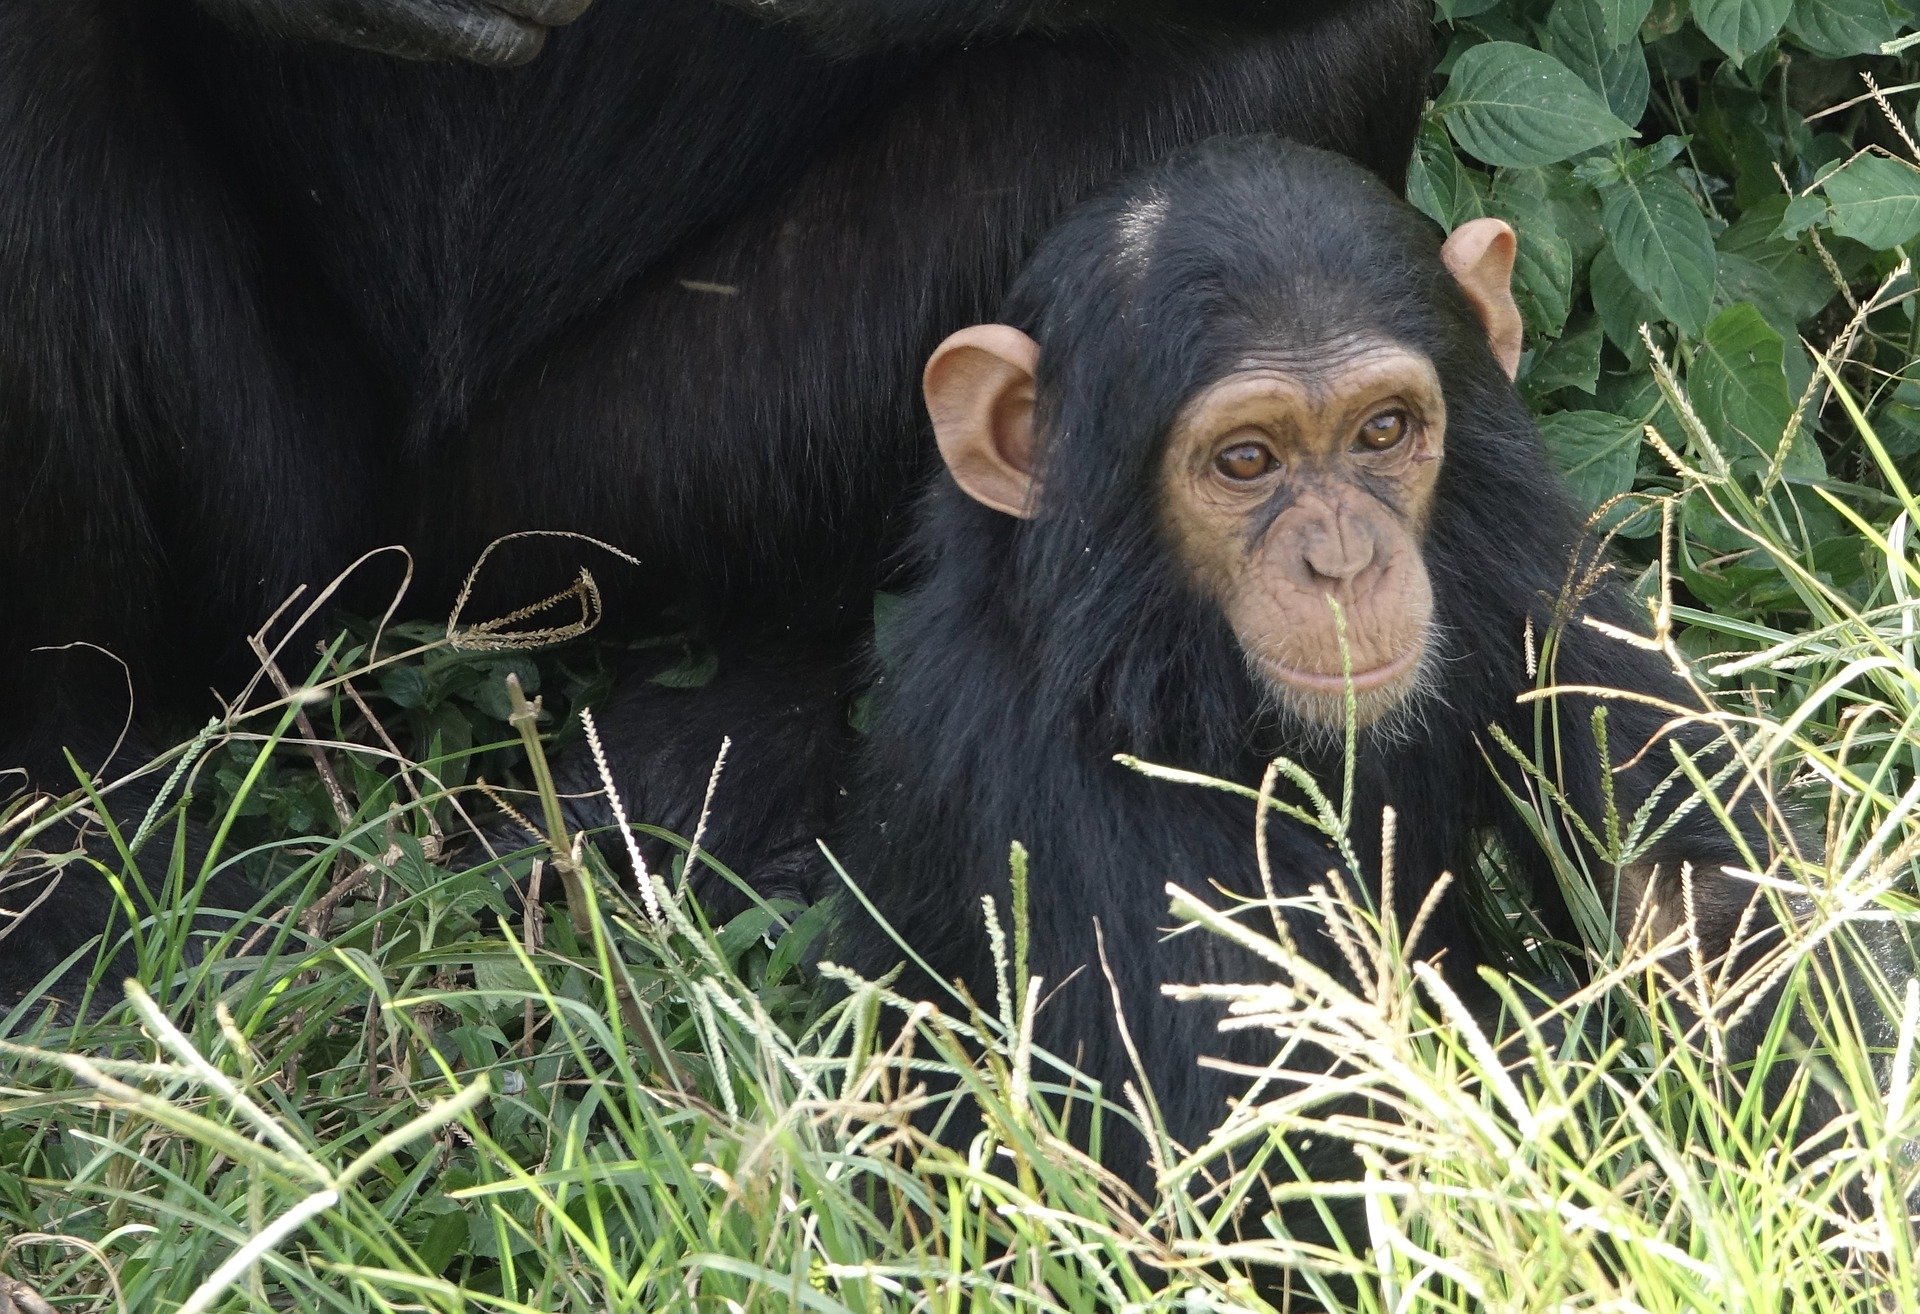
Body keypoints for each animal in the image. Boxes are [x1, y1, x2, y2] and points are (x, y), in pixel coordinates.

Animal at [837, 138, 1797, 1214]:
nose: (1341, 558)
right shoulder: (1048, 797)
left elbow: (1706, 898)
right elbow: (1300, 1159)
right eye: (1246, 460)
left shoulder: (1529, 567)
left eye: (1382, 431)